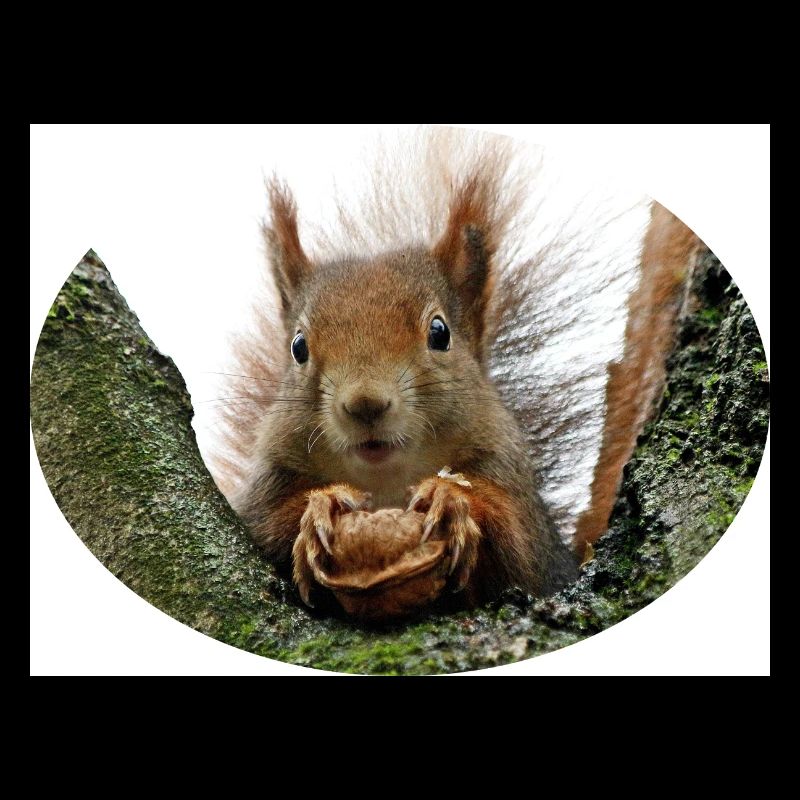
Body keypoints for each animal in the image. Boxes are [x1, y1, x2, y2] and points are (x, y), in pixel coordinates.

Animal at [211, 128, 700, 609]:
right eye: (298, 347)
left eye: (440, 333)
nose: (365, 404)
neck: (387, 484)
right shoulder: (264, 493)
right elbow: (265, 529)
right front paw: (322, 506)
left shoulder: (520, 509)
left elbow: (515, 543)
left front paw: (451, 499)